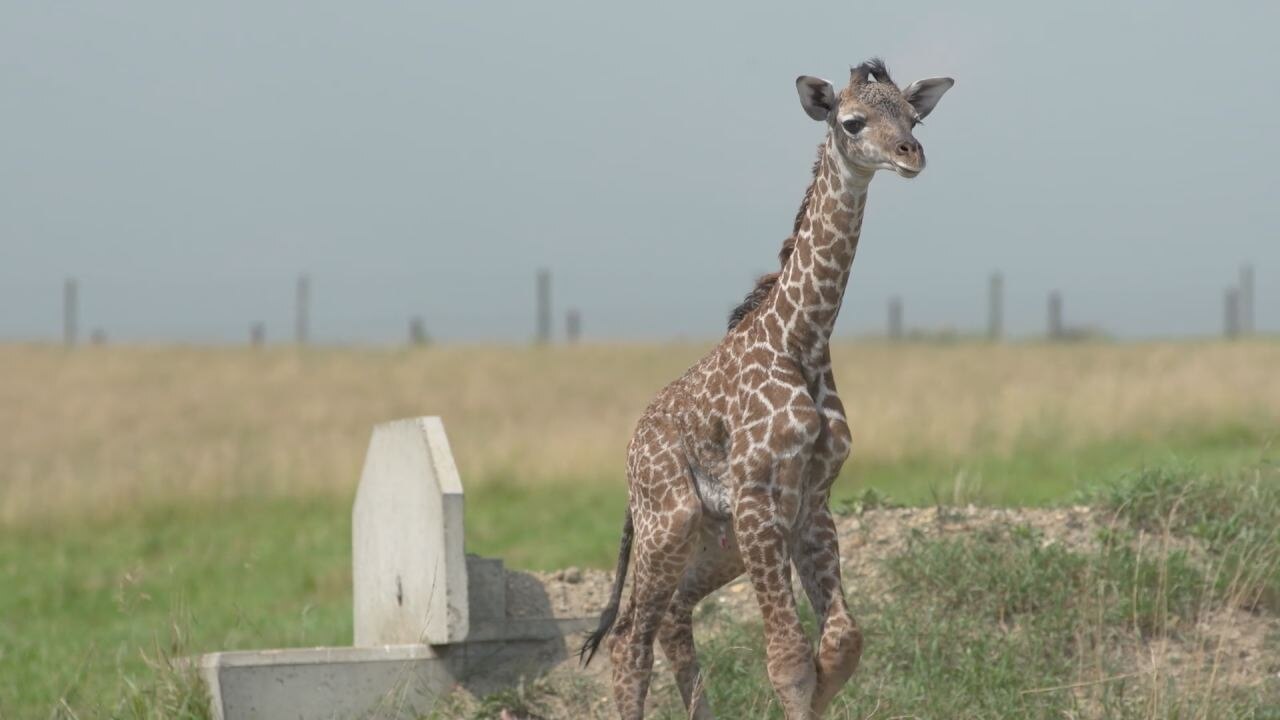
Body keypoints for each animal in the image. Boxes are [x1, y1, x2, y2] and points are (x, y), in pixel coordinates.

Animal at [580, 59, 954, 720]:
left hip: (716, 540)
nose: (911, 155)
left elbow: (839, 645)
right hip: (669, 521)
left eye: (914, 117)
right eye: (852, 121)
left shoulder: (813, 500)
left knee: (673, 620)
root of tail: (630, 456)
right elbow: (788, 660)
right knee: (629, 641)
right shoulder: (758, 495)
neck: (800, 338)